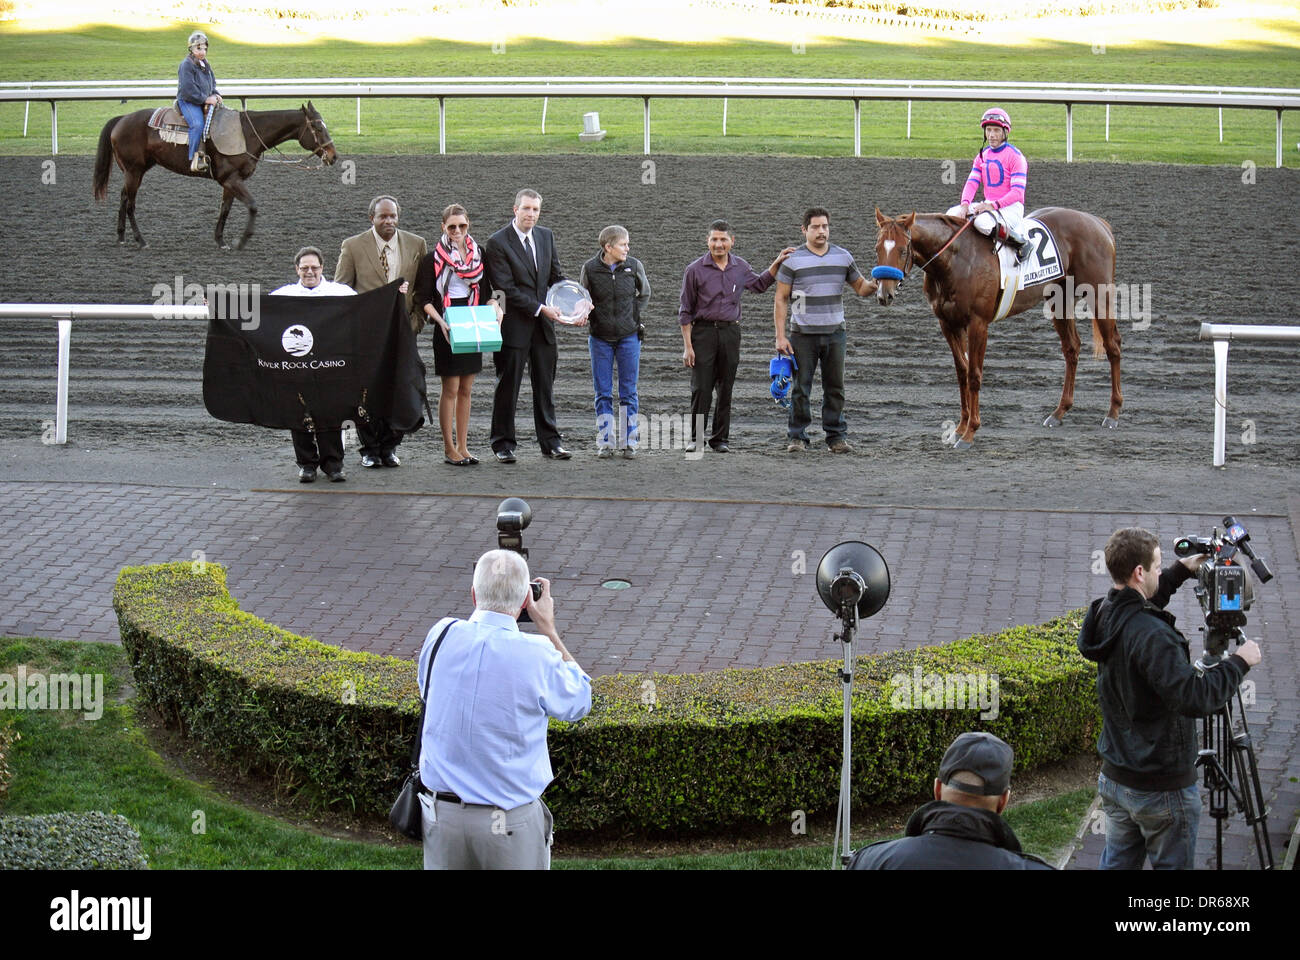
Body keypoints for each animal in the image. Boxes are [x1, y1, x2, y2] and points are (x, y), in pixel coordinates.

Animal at [91, 102, 335, 251]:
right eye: (317, 127)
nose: (333, 156)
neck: (247, 133)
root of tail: (122, 119)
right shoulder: (231, 179)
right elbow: (253, 205)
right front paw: (241, 241)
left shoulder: (230, 182)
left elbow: (225, 209)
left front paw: (220, 240)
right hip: (134, 172)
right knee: (130, 204)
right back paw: (141, 241)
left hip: (135, 171)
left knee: (124, 198)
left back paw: (121, 237)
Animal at [873, 208, 1118, 447]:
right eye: (877, 248)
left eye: (903, 250)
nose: (885, 294)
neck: (955, 260)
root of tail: (1097, 222)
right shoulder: (948, 324)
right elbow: (962, 372)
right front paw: (959, 428)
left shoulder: (978, 323)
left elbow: (974, 374)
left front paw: (969, 433)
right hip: (1059, 299)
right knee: (1071, 348)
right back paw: (1059, 412)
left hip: (1099, 295)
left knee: (1113, 347)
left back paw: (1112, 414)